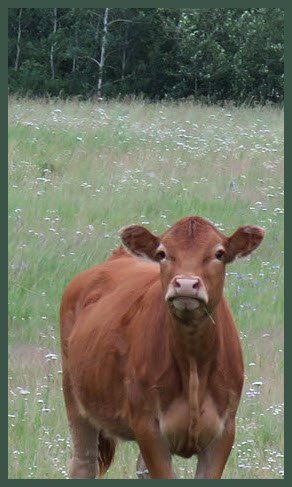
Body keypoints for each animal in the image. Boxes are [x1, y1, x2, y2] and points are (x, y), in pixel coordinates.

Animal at [60, 215, 264, 478]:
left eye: (219, 253)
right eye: (162, 253)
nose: (186, 284)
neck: (193, 365)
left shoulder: (224, 430)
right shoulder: (148, 427)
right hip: (74, 399)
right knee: (83, 461)